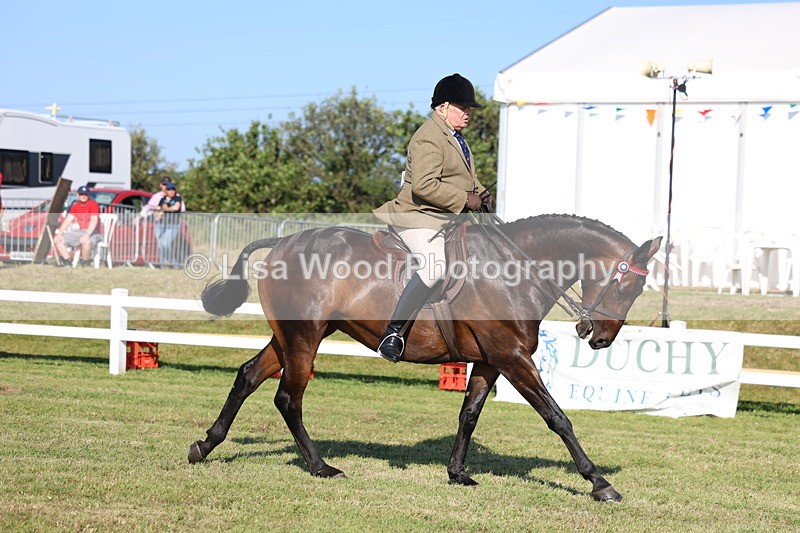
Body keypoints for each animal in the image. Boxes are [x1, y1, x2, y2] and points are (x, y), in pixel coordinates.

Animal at [188, 214, 662, 502]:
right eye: (628, 287)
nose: (599, 338)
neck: (515, 269)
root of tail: (284, 241)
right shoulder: (512, 358)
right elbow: (557, 417)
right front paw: (599, 483)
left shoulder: (490, 361)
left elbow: (469, 414)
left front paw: (457, 473)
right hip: (304, 339)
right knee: (288, 398)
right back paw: (322, 467)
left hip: (290, 338)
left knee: (248, 377)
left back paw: (205, 445)